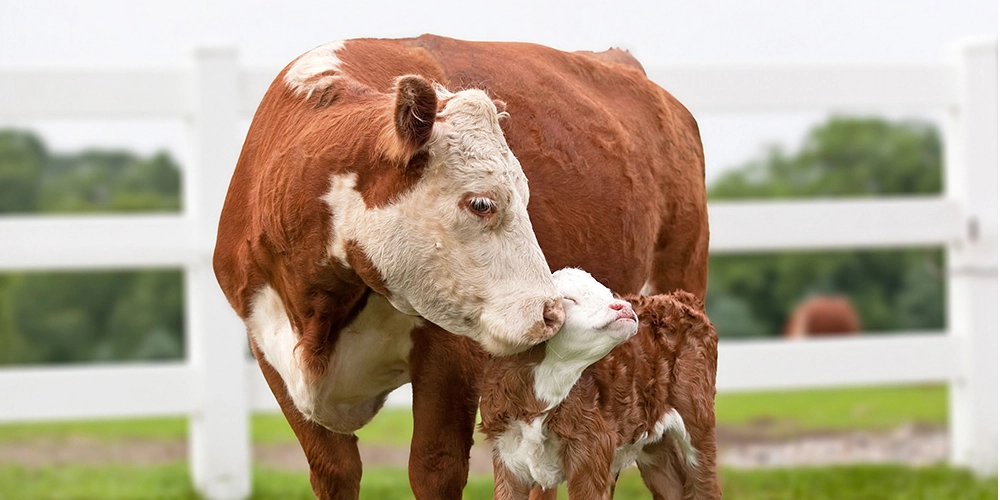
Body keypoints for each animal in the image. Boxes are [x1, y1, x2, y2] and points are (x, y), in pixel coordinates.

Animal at [478, 270, 720, 500]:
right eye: (568, 298)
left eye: (608, 294)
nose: (623, 306)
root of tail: (676, 297)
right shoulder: (507, 455)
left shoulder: (591, 452)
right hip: (654, 441)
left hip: (698, 422)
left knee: (705, 485)